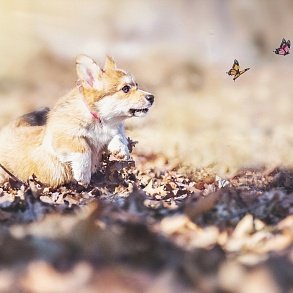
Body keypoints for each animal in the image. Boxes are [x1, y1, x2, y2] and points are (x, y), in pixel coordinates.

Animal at [0, 54, 154, 187]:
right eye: (125, 89)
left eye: (137, 85)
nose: (152, 97)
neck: (100, 120)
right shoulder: (64, 137)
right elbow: (83, 148)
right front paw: (83, 174)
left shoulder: (112, 132)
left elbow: (118, 136)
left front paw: (121, 149)